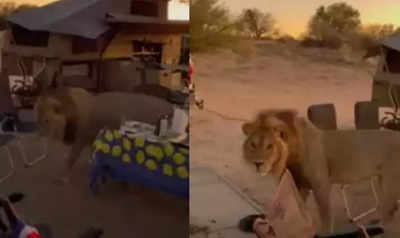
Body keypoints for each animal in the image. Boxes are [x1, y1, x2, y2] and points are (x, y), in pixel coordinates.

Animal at [32, 71, 173, 183]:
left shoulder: (80, 138)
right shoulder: (91, 137)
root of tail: (171, 107)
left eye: (46, 121)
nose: (38, 137)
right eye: (37, 118)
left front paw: (64, 177)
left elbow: (71, 158)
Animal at [242, 109, 400, 235]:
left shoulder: (321, 184)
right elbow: (297, 208)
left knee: (390, 212)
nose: (258, 163)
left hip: (390, 184)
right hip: (382, 181)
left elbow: (325, 213)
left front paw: (324, 233)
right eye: (253, 144)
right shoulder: (300, 184)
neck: (291, 154)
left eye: (270, 146)